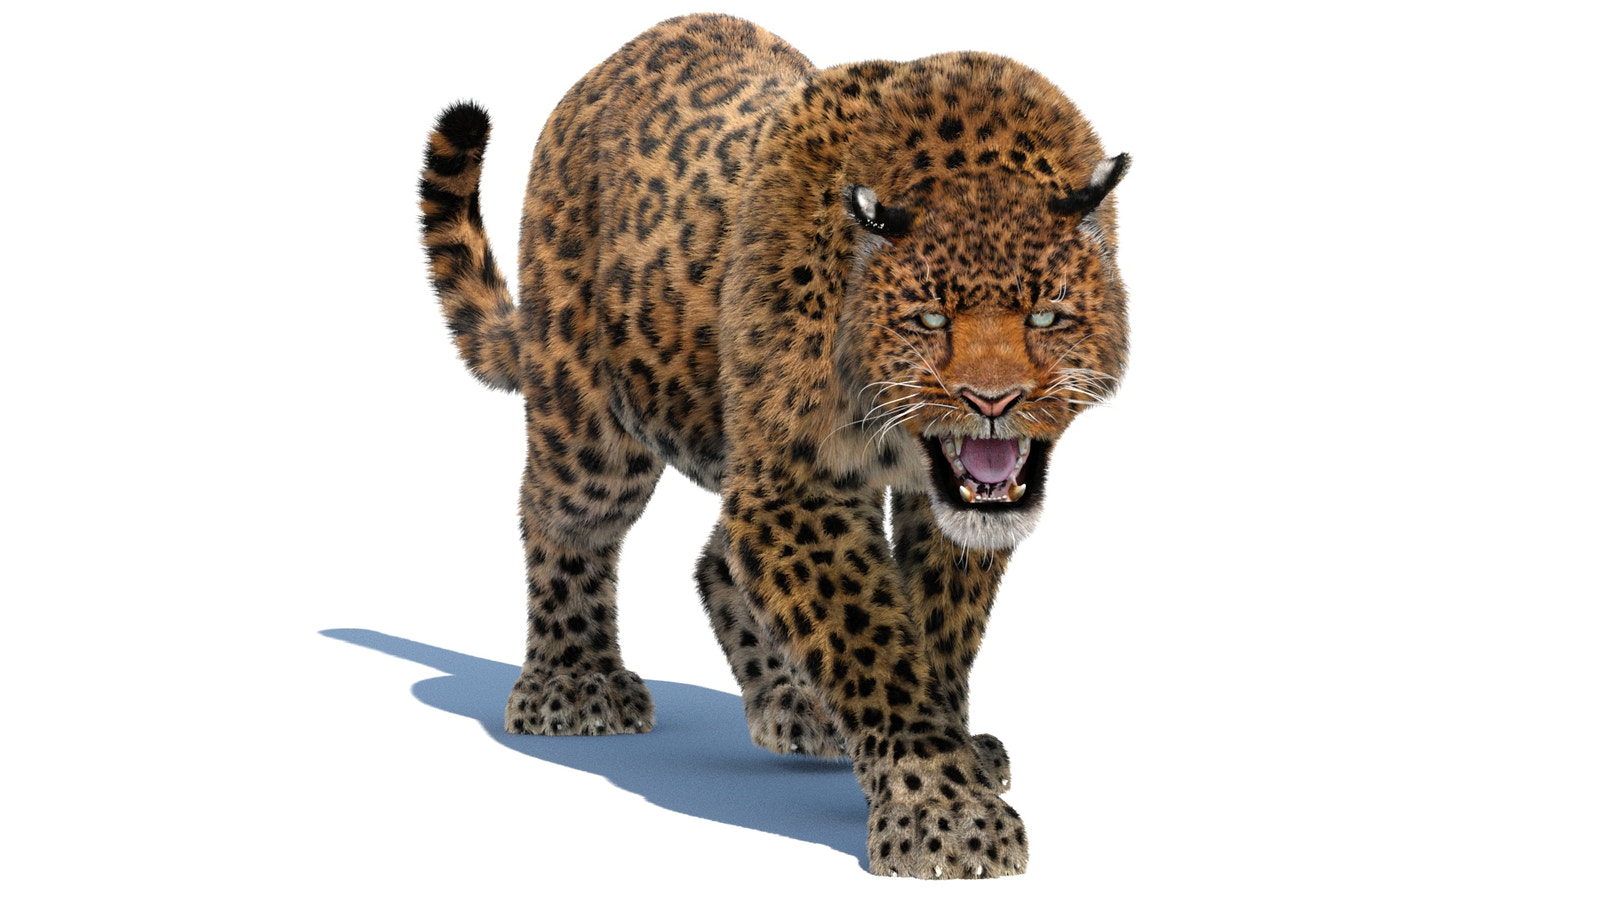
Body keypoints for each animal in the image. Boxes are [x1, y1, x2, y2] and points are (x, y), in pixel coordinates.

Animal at [417, 13, 1129, 879]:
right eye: (928, 319)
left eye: (1047, 316)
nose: (993, 404)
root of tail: (602, 72)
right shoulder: (796, 481)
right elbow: (871, 640)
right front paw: (944, 812)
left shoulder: (938, 503)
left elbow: (936, 627)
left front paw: (949, 755)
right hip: (590, 421)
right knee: (562, 519)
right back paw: (574, 685)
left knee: (718, 559)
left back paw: (797, 706)